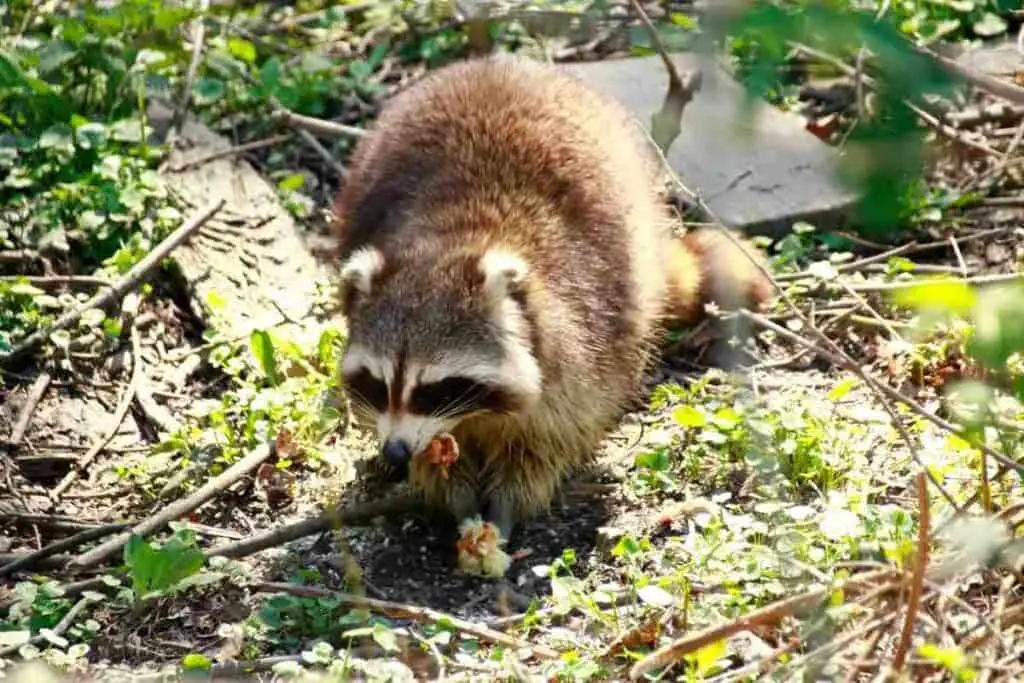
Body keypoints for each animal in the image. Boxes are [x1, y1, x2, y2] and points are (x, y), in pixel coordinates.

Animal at [331, 54, 770, 577]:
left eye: (435, 388)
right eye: (378, 384)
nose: (395, 451)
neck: (454, 241)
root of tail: (500, 63)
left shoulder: (581, 342)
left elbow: (549, 439)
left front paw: (506, 505)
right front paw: (451, 492)